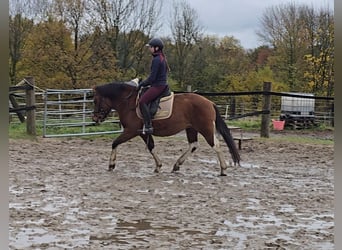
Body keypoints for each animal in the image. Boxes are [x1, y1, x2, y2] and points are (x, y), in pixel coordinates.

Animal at [91, 80, 240, 176]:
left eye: (95, 100)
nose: (95, 119)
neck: (128, 102)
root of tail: (209, 102)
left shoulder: (131, 131)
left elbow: (115, 142)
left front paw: (111, 165)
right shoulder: (143, 133)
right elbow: (151, 146)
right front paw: (158, 166)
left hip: (205, 128)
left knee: (216, 145)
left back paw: (223, 169)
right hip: (191, 128)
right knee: (193, 145)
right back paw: (177, 165)